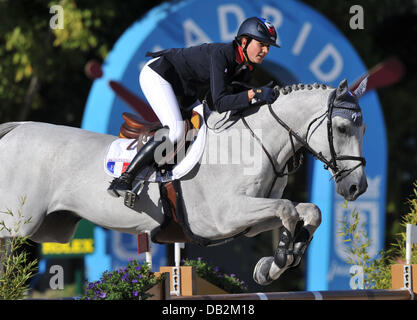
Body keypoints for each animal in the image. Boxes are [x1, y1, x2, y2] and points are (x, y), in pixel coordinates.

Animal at [0, 78, 368, 284]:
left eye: (362, 128)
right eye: (341, 128)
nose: (357, 188)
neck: (253, 142)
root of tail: (15, 129)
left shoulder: (250, 220)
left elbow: (307, 211)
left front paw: (276, 265)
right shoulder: (225, 217)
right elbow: (288, 211)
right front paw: (277, 263)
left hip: (47, 228)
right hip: (18, 226)